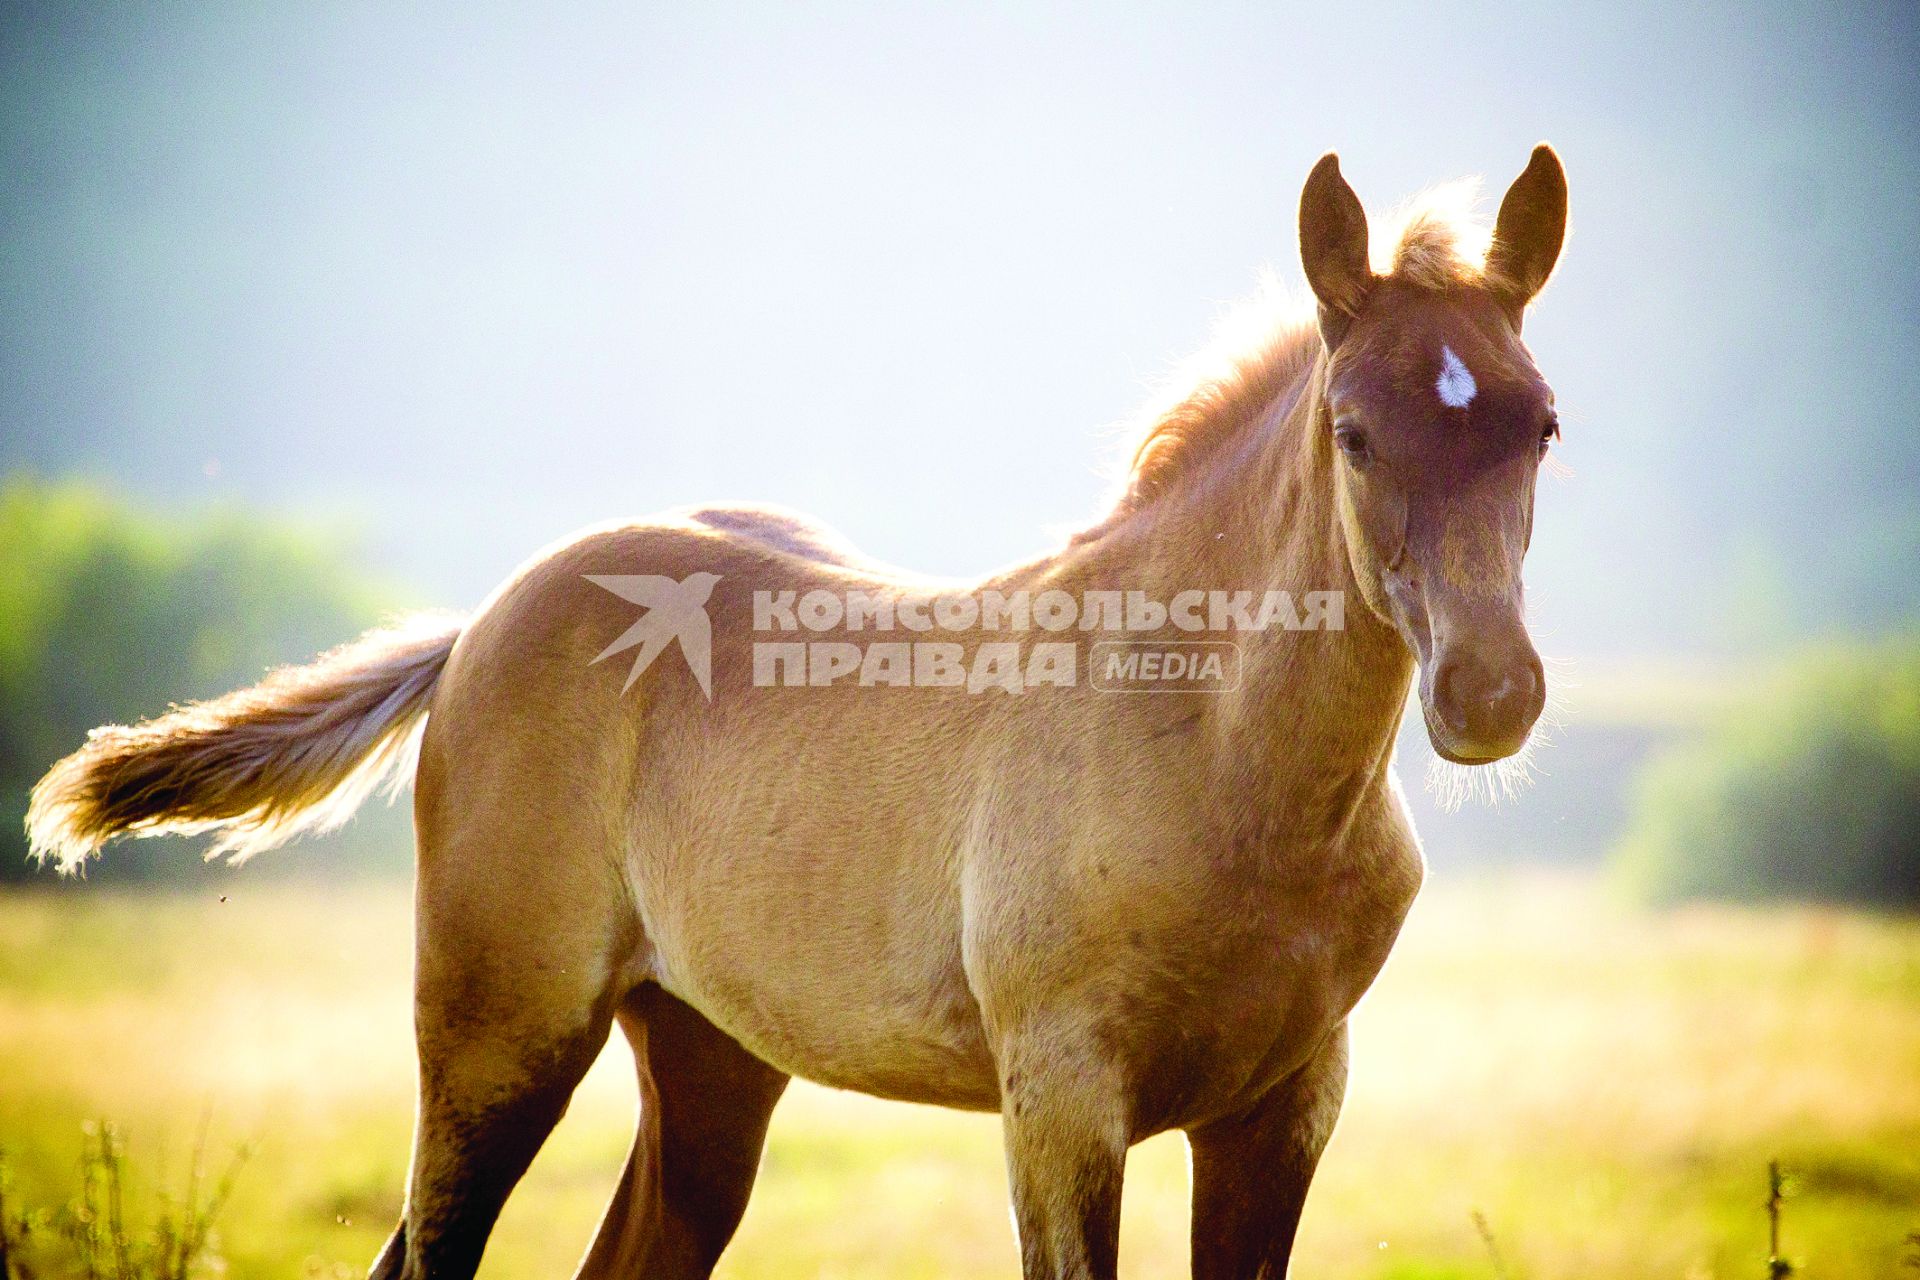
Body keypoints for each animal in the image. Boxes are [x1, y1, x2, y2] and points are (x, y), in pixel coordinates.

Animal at [26, 147, 1559, 1280]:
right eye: (1355, 433)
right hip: (495, 1035)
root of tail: (477, 628)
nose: (1490, 694)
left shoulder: (1285, 1105)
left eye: (1541, 423)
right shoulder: (1064, 1101)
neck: (1227, 766)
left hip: (706, 1058)